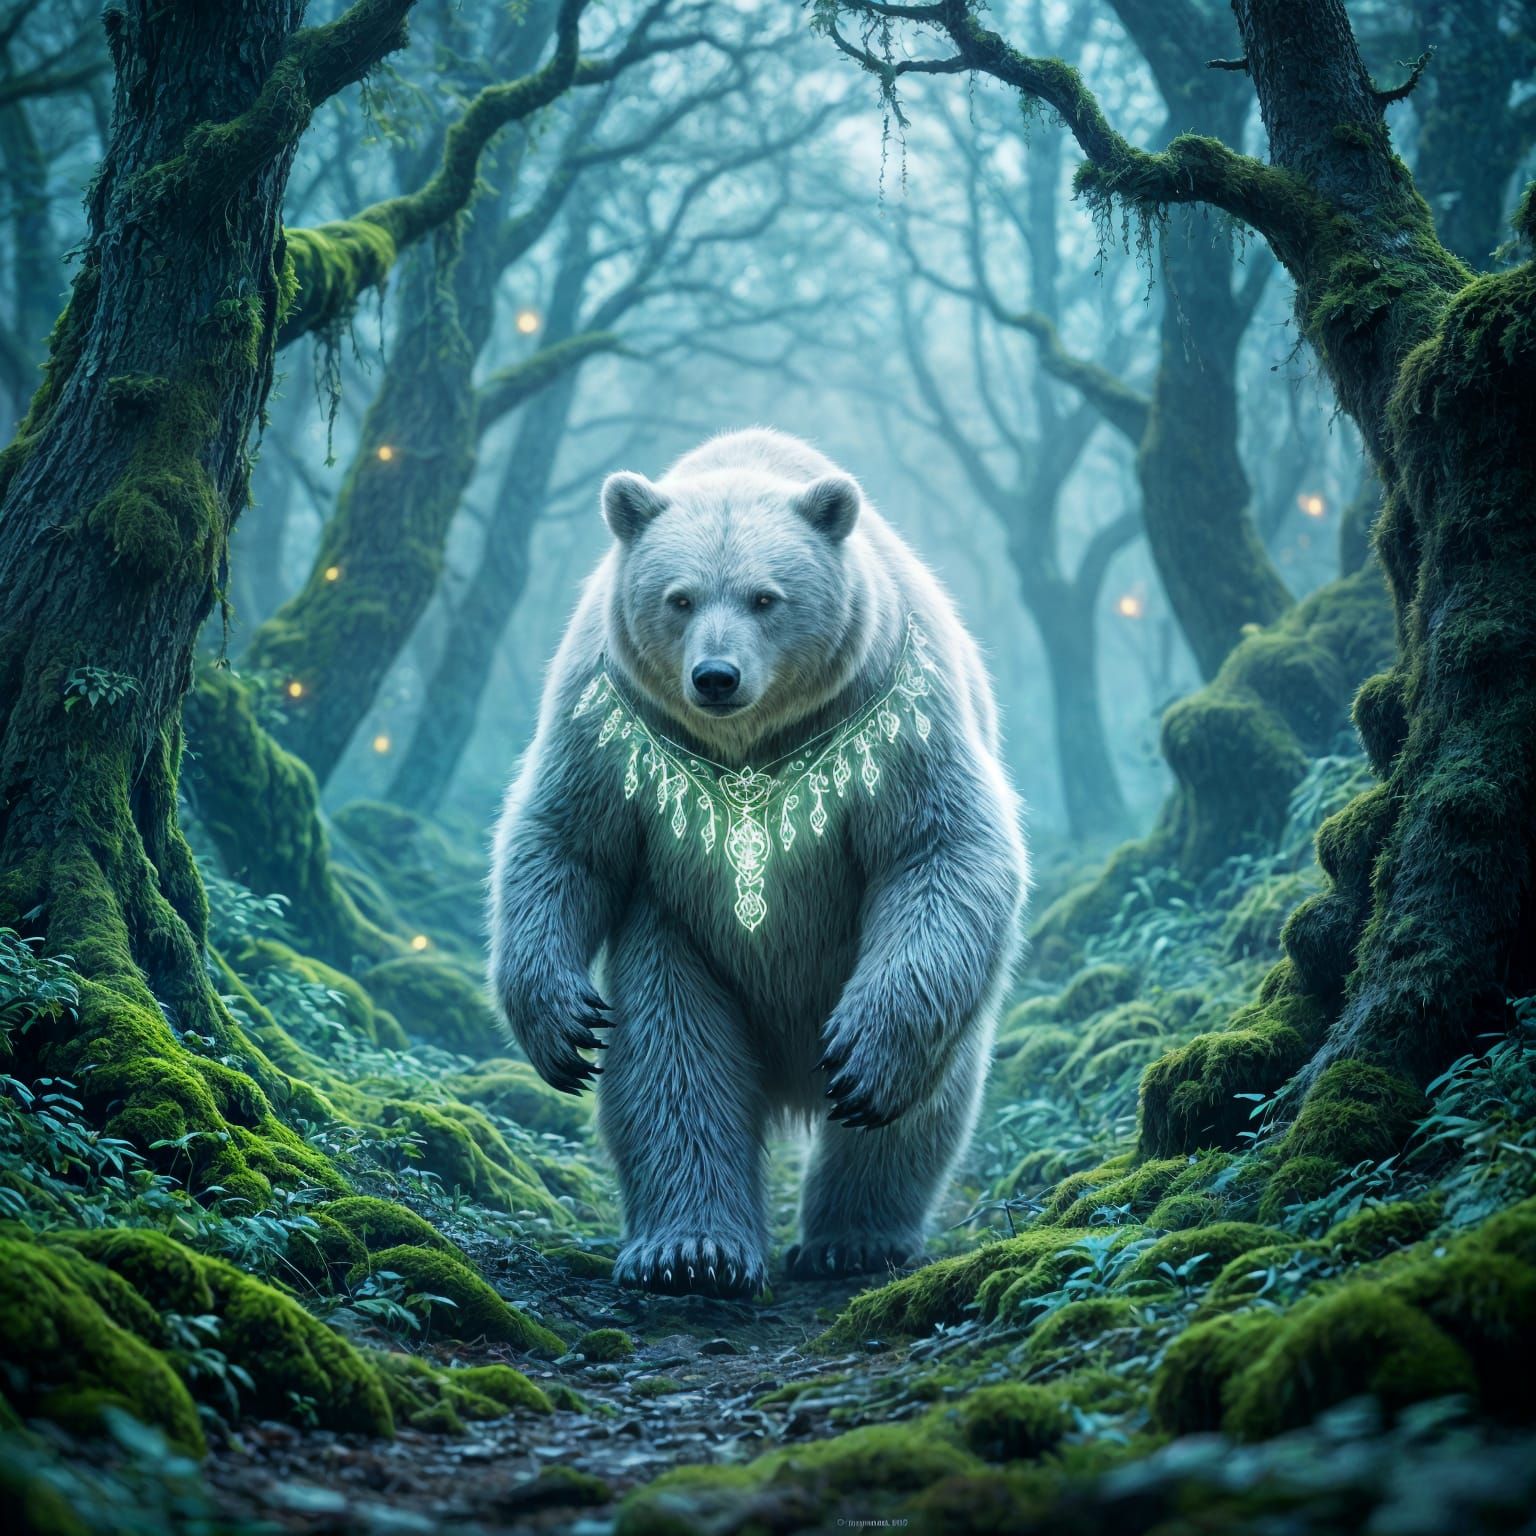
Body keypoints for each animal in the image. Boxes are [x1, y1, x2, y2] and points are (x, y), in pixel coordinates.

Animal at [489, 428, 1027, 1298]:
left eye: (765, 598)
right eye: (679, 598)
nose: (716, 677)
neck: (751, 742)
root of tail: (790, 1080)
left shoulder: (893, 710)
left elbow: (941, 846)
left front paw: (866, 1059)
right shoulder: (612, 718)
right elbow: (562, 839)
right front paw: (561, 1027)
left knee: (923, 1105)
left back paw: (854, 1235)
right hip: (681, 940)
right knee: (673, 1062)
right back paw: (691, 1251)